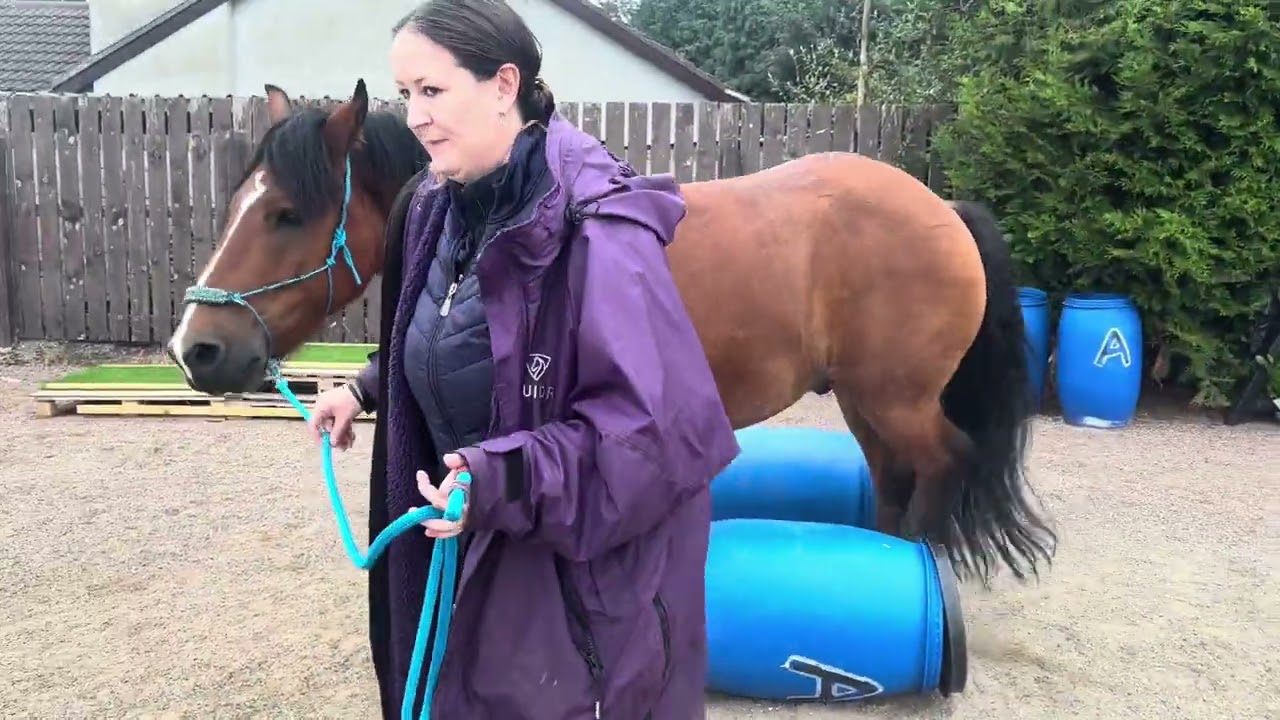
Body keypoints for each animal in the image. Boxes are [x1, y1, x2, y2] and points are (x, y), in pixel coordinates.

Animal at [170, 79, 1057, 587]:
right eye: (241, 200)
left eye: (288, 213)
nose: (196, 348)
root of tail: (943, 209)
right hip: (866, 402)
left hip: (899, 402)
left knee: (942, 467)